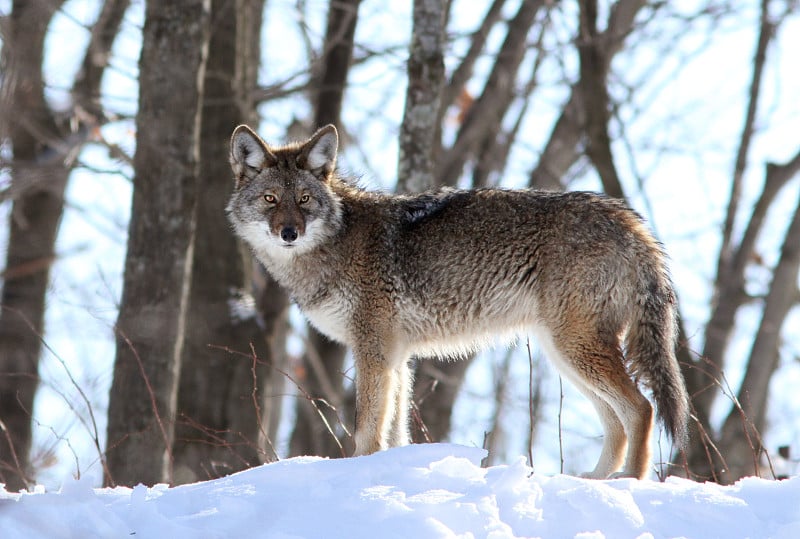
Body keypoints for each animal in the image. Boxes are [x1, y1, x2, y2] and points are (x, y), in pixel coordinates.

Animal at [225, 123, 688, 480]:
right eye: (270, 199)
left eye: (303, 200)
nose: (289, 233)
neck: (336, 242)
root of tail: (629, 220)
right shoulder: (396, 356)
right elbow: (396, 430)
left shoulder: (373, 350)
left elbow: (366, 428)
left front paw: (357, 472)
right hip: (565, 356)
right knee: (617, 421)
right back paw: (595, 480)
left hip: (576, 349)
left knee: (641, 408)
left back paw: (629, 481)